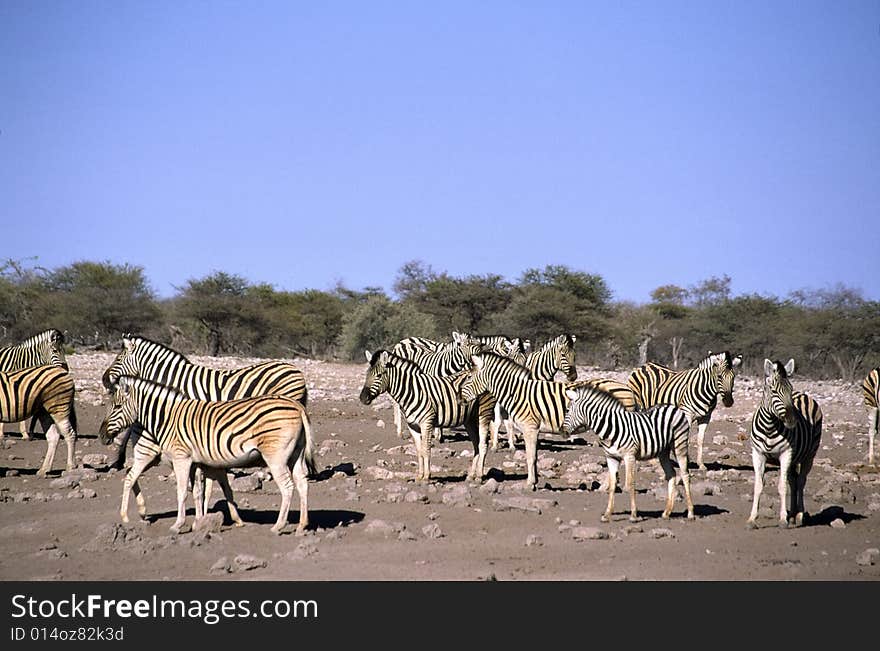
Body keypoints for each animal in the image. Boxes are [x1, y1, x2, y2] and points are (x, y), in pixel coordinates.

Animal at [99, 376, 316, 536]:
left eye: (117, 406)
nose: (101, 435)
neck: (167, 417)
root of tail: (297, 405)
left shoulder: (181, 458)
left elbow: (182, 492)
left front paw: (178, 525)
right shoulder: (196, 462)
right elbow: (198, 492)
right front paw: (198, 523)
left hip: (276, 457)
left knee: (287, 487)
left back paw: (279, 526)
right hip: (295, 455)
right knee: (302, 483)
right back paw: (301, 525)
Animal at [360, 352, 496, 484]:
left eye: (379, 375)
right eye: (366, 375)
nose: (362, 398)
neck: (412, 391)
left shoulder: (427, 422)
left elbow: (426, 449)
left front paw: (426, 477)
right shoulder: (412, 426)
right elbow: (419, 450)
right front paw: (419, 476)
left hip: (484, 413)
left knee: (483, 445)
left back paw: (479, 477)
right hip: (469, 420)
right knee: (476, 445)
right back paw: (471, 476)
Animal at [458, 354, 568, 492]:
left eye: (469, 377)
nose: (458, 398)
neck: (519, 393)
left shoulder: (530, 429)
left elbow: (531, 456)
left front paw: (530, 483)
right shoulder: (533, 429)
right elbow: (534, 455)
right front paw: (534, 481)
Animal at [564, 384, 696, 524]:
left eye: (567, 410)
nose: (563, 431)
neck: (611, 428)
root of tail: (672, 406)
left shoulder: (629, 456)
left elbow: (630, 484)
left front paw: (633, 515)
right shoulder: (611, 458)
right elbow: (612, 485)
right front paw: (607, 514)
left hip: (679, 445)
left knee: (685, 474)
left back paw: (690, 513)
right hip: (663, 452)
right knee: (671, 474)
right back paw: (667, 512)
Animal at [748, 360, 824, 532]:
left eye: (790, 389)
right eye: (773, 391)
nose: (792, 420)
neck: (769, 427)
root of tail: (802, 394)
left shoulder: (785, 453)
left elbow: (782, 487)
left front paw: (783, 520)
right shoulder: (758, 454)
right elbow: (758, 486)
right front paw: (752, 519)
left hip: (809, 455)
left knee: (801, 481)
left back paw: (799, 515)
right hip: (793, 459)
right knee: (793, 482)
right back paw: (793, 515)